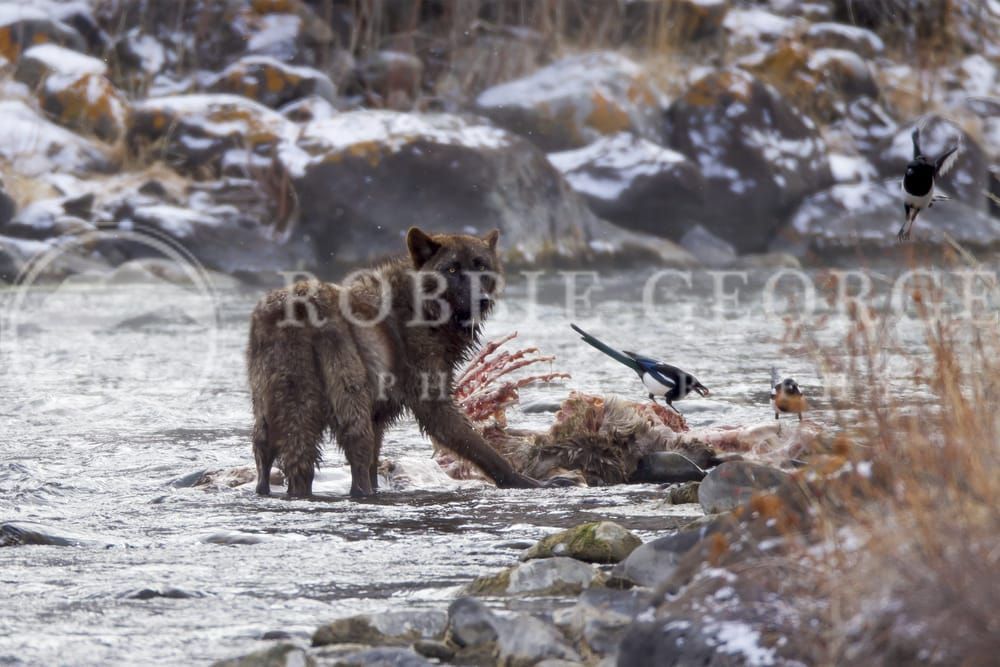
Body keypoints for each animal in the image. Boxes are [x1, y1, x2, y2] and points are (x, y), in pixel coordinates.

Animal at [246, 226, 540, 498]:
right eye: (452, 269)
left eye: (481, 266)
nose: (482, 300)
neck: (419, 306)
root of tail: (300, 308)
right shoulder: (432, 404)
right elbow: (480, 448)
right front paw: (527, 482)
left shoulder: (378, 416)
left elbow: (376, 467)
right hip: (350, 411)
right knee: (355, 473)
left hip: (269, 417)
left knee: (266, 464)